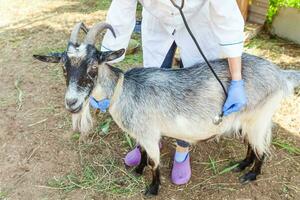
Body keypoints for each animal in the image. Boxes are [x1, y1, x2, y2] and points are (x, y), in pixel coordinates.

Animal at [32, 21, 300, 195]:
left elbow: (154, 162)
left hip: (259, 118)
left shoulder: (150, 133)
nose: (72, 103)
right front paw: (137, 170)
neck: (123, 90)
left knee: (262, 148)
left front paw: (152, 188)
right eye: (63, 68)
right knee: (251, 144)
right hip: (245, 119)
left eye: (93, 66)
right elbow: (141, 152)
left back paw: (251, 174)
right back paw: (243, 164)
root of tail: (280, 74)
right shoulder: (142, 133)